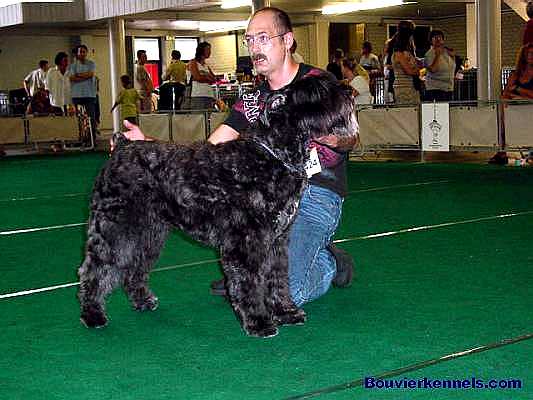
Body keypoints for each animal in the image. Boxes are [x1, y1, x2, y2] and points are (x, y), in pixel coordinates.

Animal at [77, 73, 356, 336]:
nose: (349, 93)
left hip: (149, 233)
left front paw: (285, 311)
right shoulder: (247, 242)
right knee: (95, 269)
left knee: (134, 267)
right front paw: (259, 321)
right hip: (114, 229)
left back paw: (143, 300)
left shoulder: (277, 241)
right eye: (316, 91)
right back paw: (93, 314)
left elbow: (278, 278)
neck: (272, 155)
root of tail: (121, 147)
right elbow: (251, 283)